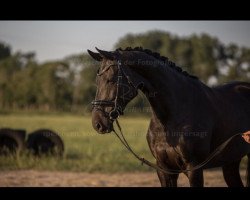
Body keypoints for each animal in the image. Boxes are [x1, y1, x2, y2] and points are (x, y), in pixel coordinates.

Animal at [88, 47, 250, 188]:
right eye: (97, 81)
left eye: (111, 79)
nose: (97, 123)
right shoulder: (164, 169)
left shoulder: (194, 169)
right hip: (231, 162)